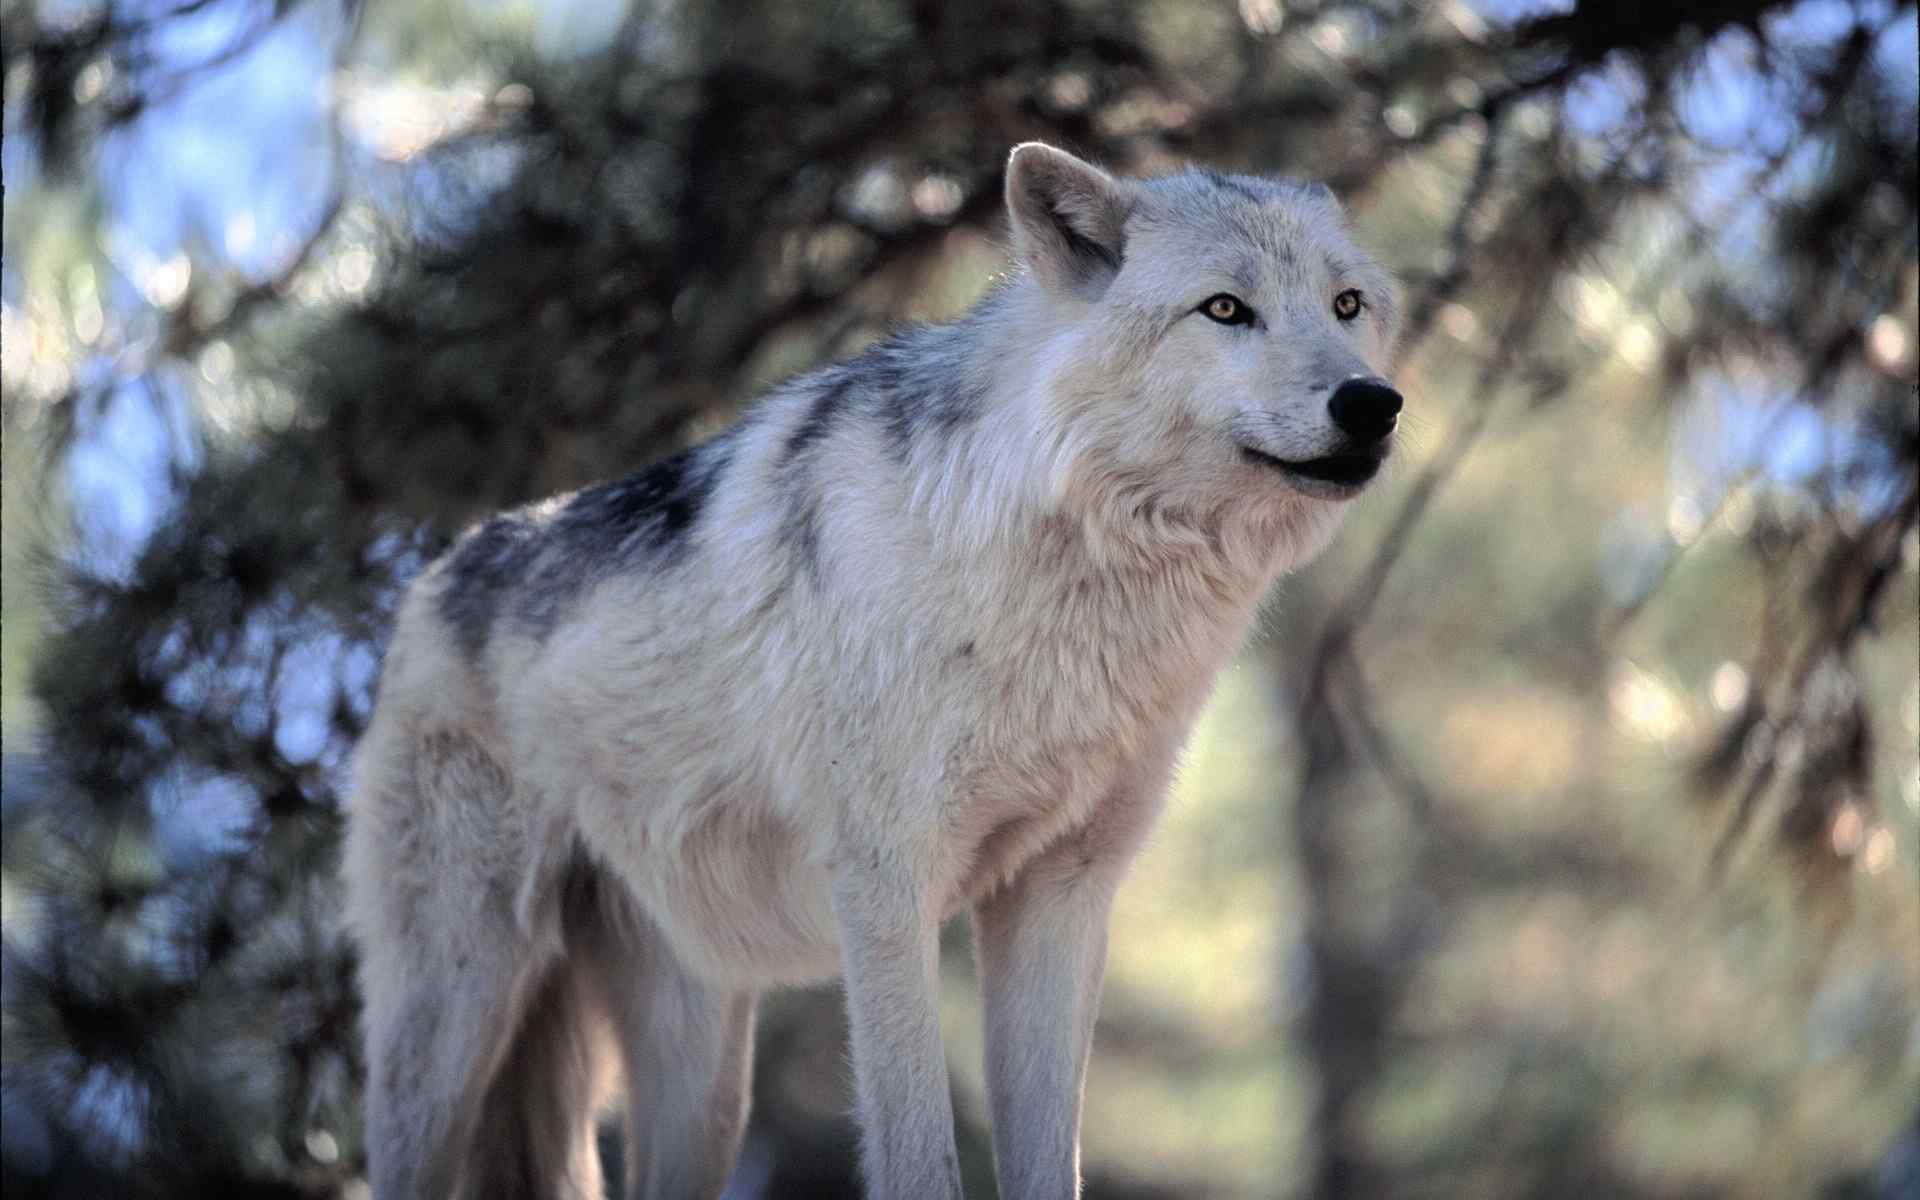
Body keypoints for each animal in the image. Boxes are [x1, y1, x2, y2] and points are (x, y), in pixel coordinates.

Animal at [341, 143, 1397, 1198]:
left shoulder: (1060, 898)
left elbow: (1050, 1163)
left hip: (702, 1086)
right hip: (452, 1029)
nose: (1373, 404)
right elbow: (919, 1154)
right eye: (1225, 309)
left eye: (1346, 305)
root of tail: (428, 579)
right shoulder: (887, 889)